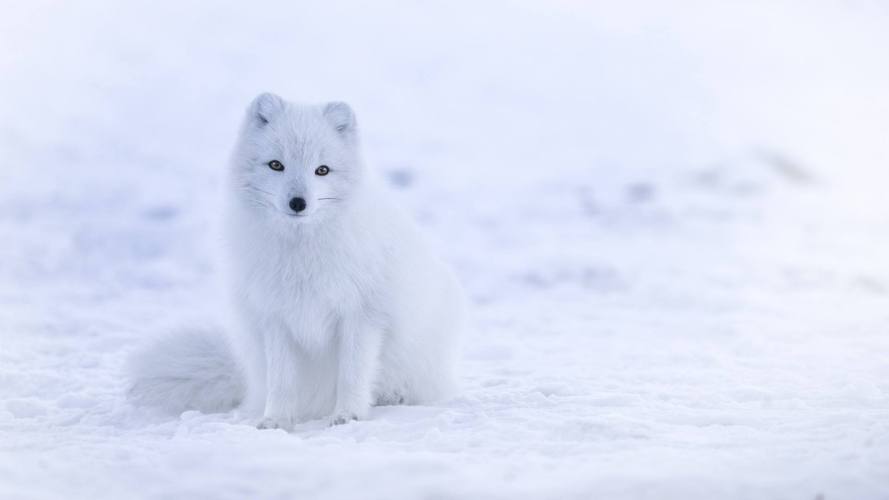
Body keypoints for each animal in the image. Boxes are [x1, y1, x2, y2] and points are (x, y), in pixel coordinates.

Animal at [130, 93, 472, 426]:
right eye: (276, 165)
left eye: (322, 170)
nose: (298, 202)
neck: (301, 252)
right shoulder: (275, 317)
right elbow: (282, 380)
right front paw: (276, 420)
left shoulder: (362, 315)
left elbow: (352, 373)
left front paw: (348, 415)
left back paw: (393, 397)